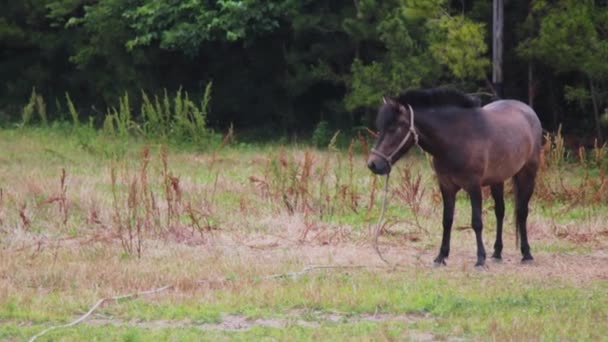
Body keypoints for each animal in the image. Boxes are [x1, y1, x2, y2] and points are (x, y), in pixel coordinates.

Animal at [366, 87, 540, 268]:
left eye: (393, 129)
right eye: (381, 128)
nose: (373, 164)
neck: (456, 139)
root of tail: (528, 110)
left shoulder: (473, 187)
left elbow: (477, 222)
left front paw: (480, 259)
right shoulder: (446, 186)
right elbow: (447, 220)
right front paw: (441, 256)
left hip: (528, 174)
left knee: (522, 212)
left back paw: (527, 254)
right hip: (497, 179)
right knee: (500, 211)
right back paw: (497, 253)